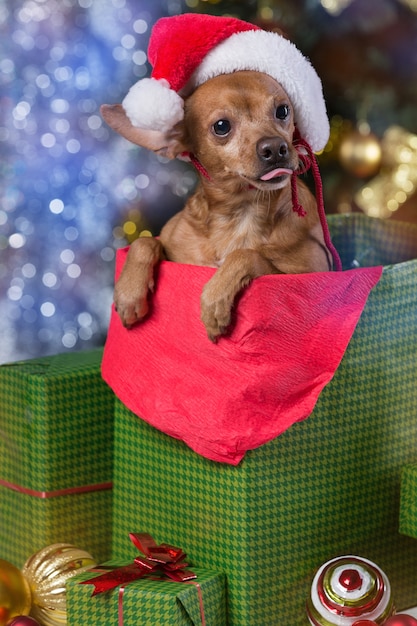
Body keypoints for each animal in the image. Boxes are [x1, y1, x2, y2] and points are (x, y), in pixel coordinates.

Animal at [101, 70, 332, 342]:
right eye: (222, 127)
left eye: (283, 111)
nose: (276, 148)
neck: (241, 212)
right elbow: (145, 241)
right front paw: (129, 292)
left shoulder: (305, 277)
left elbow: (246, 255)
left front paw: (215, 298)